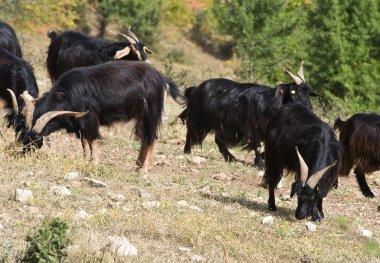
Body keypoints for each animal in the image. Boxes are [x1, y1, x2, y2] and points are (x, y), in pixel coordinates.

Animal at [18, 60, 182, 171]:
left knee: (151, 137)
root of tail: (161, 78)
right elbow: (84, 142)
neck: (67, 94)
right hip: (141, 116)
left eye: (36, 138)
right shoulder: (79, 123)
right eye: (23, 135)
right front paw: (85, 160)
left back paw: (144, 169)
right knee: (144, 138)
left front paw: (94, 162)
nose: (23, 153)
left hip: (151, 113)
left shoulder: (90, 118)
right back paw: (138, 165)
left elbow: (92, 139)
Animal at [180, 62, 316, 169]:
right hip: (199, 117)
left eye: (308, 92)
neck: (269, 102)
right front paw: (260, 164)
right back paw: (187, 151)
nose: (309, 109)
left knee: (218, 139)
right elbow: (257, 145)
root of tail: (196, 89)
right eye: (293, 91)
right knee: (190, 131)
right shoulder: (253, 126)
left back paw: (230, 158)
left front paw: (258, 161)